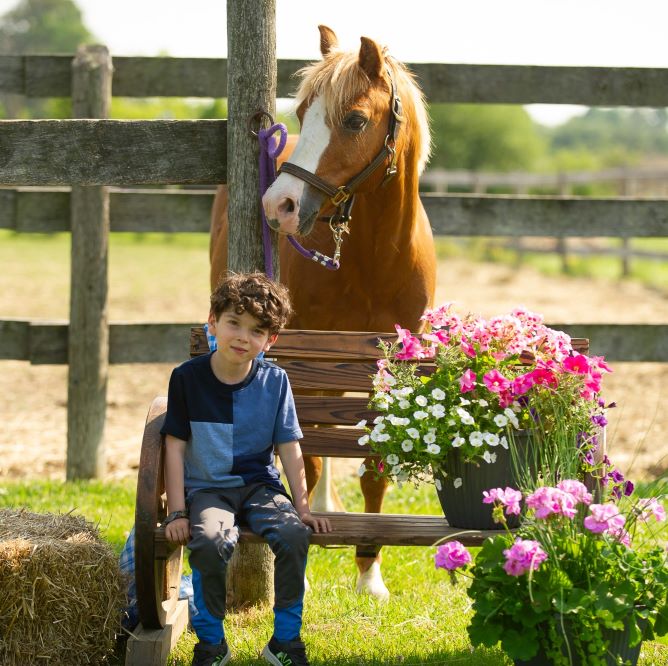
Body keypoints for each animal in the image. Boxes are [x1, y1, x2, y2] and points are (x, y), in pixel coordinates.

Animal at [210, 24, 438, 596]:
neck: (373, 257)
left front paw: (369, 573)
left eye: (354, 119)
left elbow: (373, 464)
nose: (280, 204)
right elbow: (306, 456)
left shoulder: (389, 368)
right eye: (302, 109)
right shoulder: (302, 360)